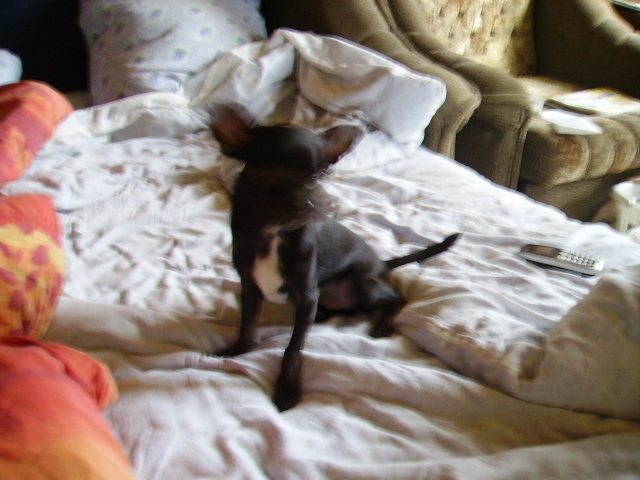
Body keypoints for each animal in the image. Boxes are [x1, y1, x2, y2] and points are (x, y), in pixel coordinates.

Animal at [210, 105, 459, 411]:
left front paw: (287, 388)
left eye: (321, 176)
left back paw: (381, 323)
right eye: (278, 171)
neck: (275, 232)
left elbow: (293, 347)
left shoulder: (306, 294)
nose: (320, 204)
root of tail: (380, 263)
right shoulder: (250, 288)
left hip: (362, 287)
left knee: (396, 297)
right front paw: (236, 351)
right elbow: (247, 326)